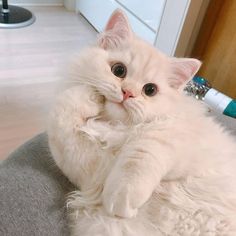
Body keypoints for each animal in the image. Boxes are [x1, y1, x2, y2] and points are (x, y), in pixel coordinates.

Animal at [48, 9, 236, 236]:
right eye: (119, 70)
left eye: (150, 90)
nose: (127, 93)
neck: (118, 126)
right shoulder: (84, 169)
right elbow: (63, 107)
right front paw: (90, 96)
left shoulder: (173, 136)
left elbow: (140, 155)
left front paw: (121, 200)